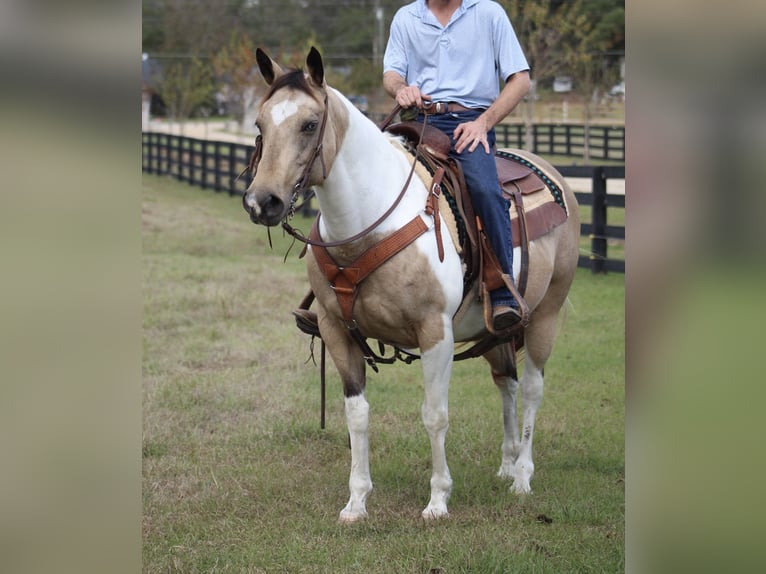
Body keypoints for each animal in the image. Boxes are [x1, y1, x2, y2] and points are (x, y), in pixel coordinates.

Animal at [243, 48, 580, 528]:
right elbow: (357, 415)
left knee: (532, 387)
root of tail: (555, 175)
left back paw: (522, 477)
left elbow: (434, 416)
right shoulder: (336, 330)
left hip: (545, 315)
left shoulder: (434, 332)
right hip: (495, 328)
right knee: (507, 384)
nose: (261, 202)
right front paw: (356, 502)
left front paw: (438, 500)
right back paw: (506, 464)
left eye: (309, 124)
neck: (370, 222)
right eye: (260, 125)